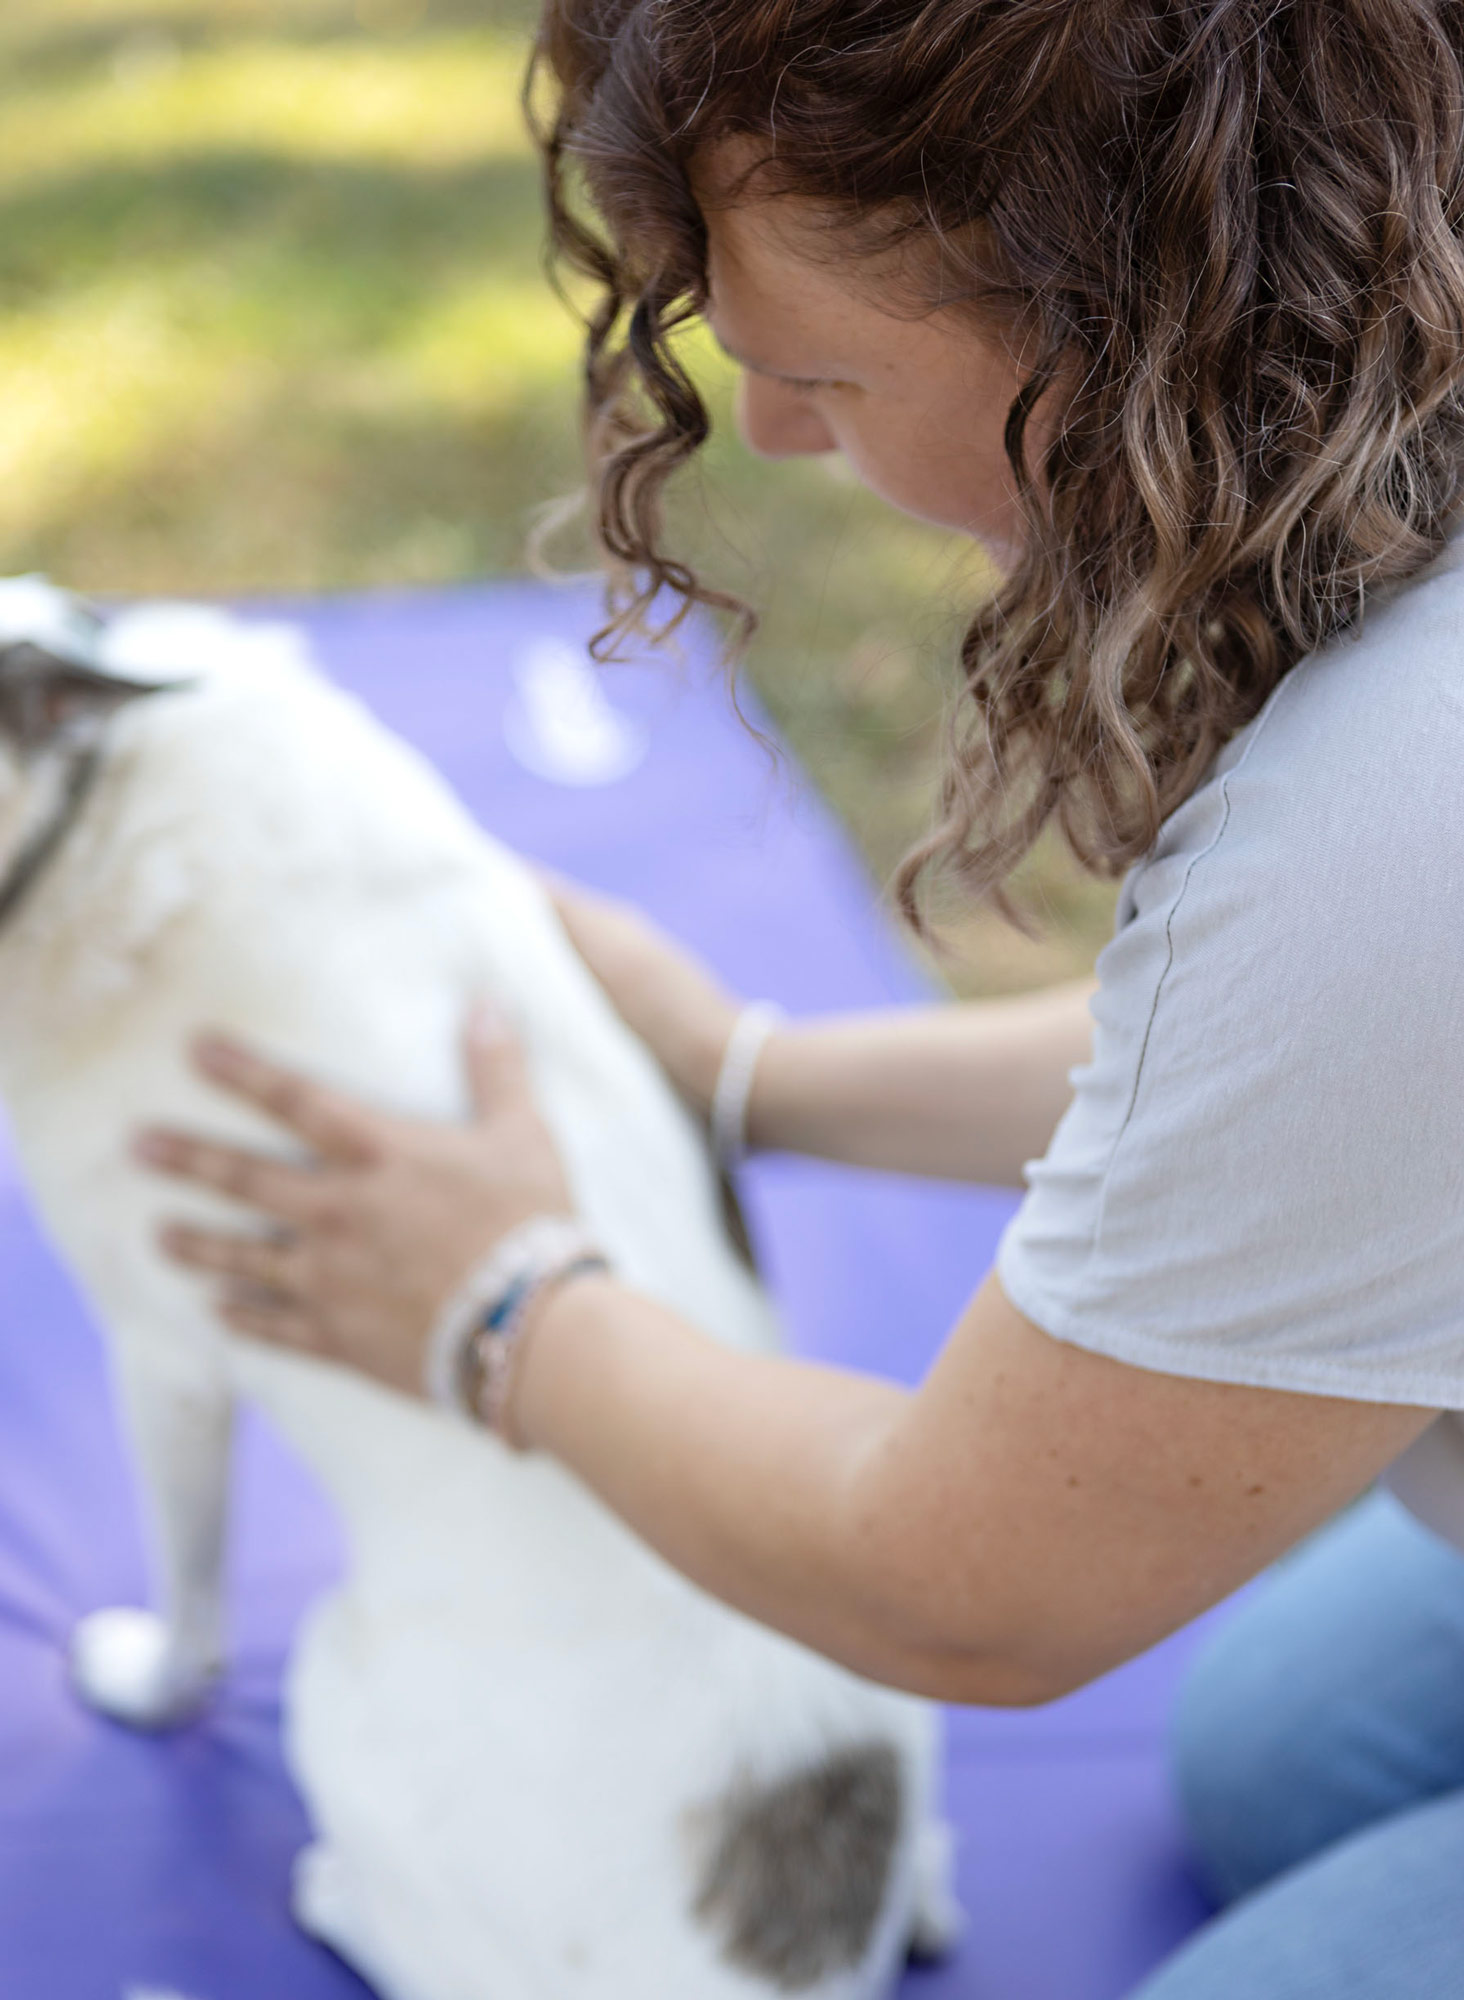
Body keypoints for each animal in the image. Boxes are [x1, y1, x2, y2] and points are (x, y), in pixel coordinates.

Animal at [0, 584, 956, 2000]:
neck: (100, 788)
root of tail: (798, 1965)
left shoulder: (161, 1350)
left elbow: (192, 1600)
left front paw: (146, 1681)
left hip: (334, 1680)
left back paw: (336, 1892)